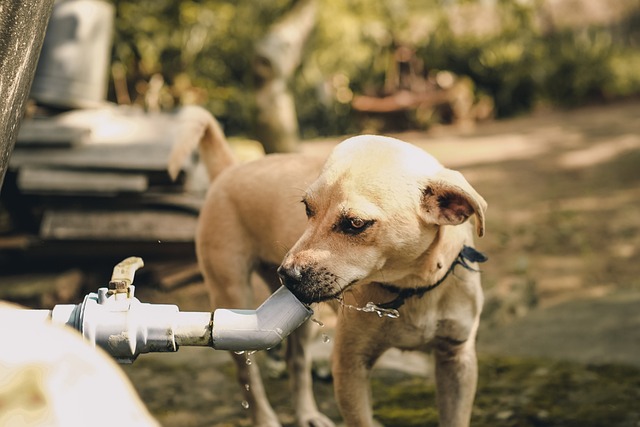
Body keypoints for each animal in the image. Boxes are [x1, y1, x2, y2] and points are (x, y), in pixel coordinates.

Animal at [168, 104, 488, 427]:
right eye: (307, 209)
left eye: (355, 223)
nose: (287, 274)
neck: (413, 289)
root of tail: (230, 168)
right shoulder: (350, 366)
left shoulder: (457, 361)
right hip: (231, 299)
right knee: (248, 376)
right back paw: (266, 418)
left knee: (296, 361)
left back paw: (307, 413)